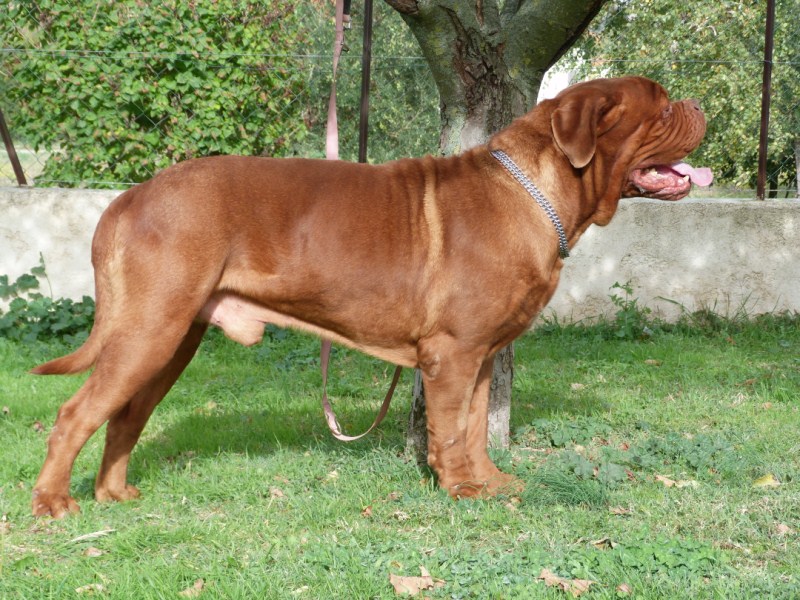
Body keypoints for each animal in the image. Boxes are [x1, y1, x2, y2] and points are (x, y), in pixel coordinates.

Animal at [31, 76, 710, 517]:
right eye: (661, 107)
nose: (697, 103)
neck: (537, 189)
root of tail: (128, 198)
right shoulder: (452, 352)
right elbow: (450, 429)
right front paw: (460, 490)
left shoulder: (482, 354)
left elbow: (475, 427)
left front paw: (490, 483)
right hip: (149, 329)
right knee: (75, 414)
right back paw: (55, 504)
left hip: (172, 340)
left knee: (125, 416)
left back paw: (114, 494)